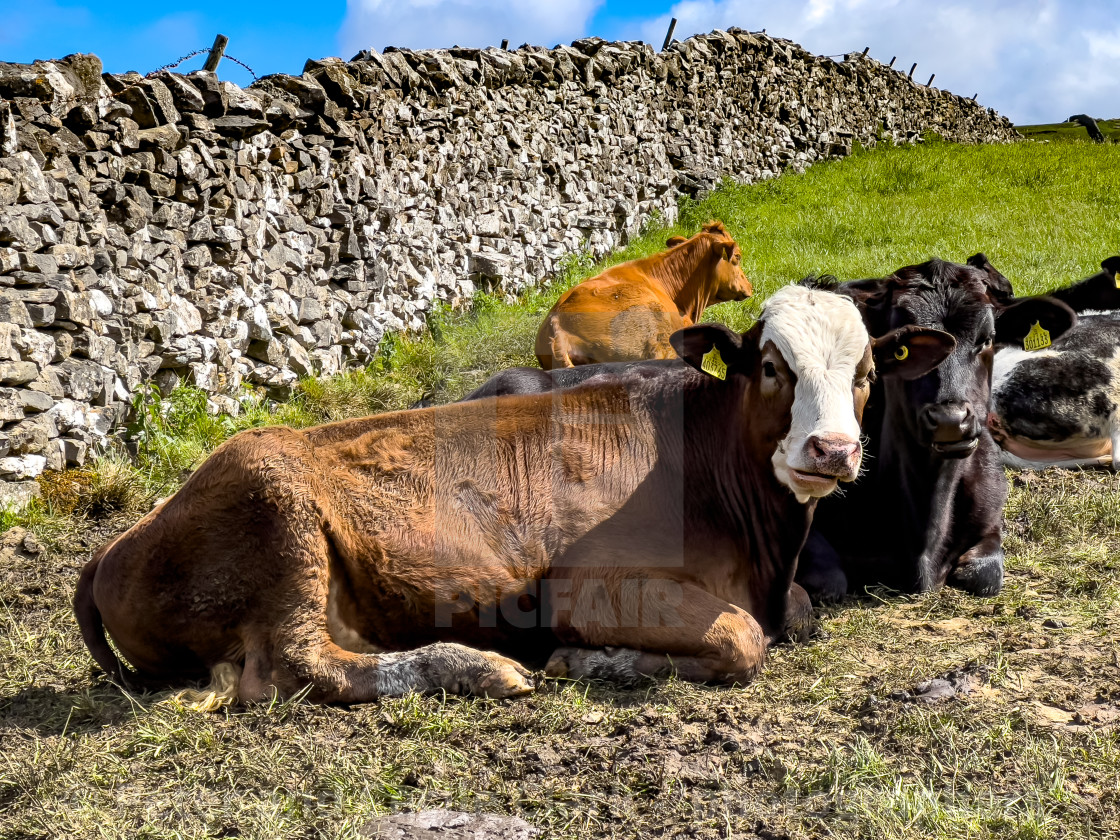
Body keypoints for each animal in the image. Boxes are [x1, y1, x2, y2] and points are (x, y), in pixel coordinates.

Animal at [76, 286, 954, 707]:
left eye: (865, 374)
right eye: (771, 367)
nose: (833, 451)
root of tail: (121, 540)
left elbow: (797, 614)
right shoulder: (587, 582)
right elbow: (742, 639)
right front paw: (592, 660)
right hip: (277, 507)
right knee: (291, 668)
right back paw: (478, 668)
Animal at [797, 253, 1075, 600]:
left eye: (987, 339)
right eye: (902, 350)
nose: (950, 419)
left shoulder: (991, 519)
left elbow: (984, 574)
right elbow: (830, 581)